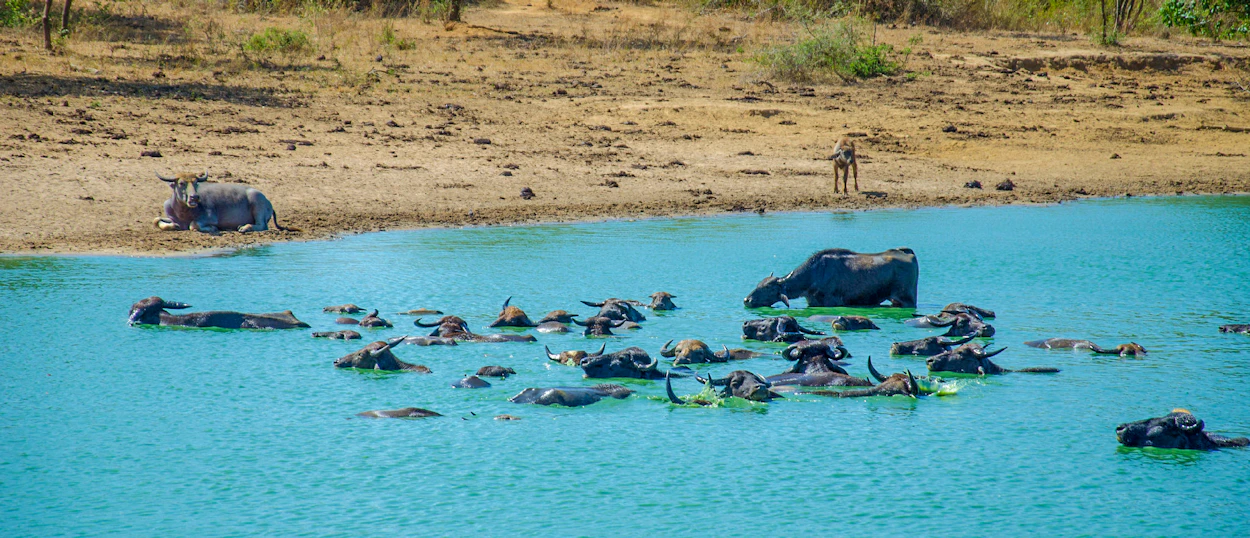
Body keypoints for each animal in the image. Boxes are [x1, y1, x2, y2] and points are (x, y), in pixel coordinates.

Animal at [744, 248, 918, 308]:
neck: (813, 275)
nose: (747, 300)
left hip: (906, 299)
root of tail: (907, 253)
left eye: (768, 288)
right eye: (758, 284)